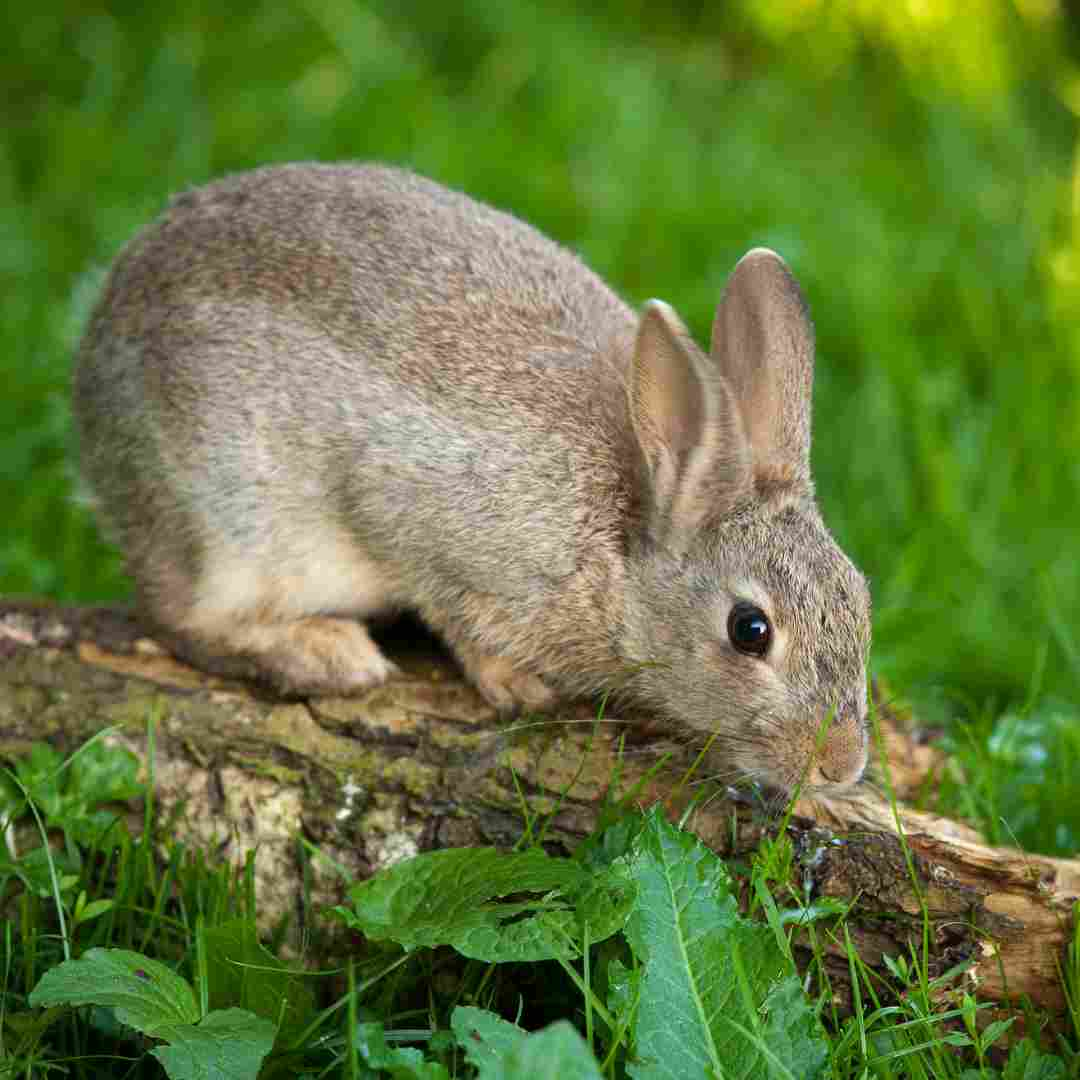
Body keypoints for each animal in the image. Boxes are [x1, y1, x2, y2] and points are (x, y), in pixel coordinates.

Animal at [73, 164, 868, 799]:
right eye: (749, 630)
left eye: (860, 599)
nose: (841, 765)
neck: (627, 541)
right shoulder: (420, 515)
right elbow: (453, 611)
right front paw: (515, 683)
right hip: (228, 521)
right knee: (183, 618)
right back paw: (328, 655)